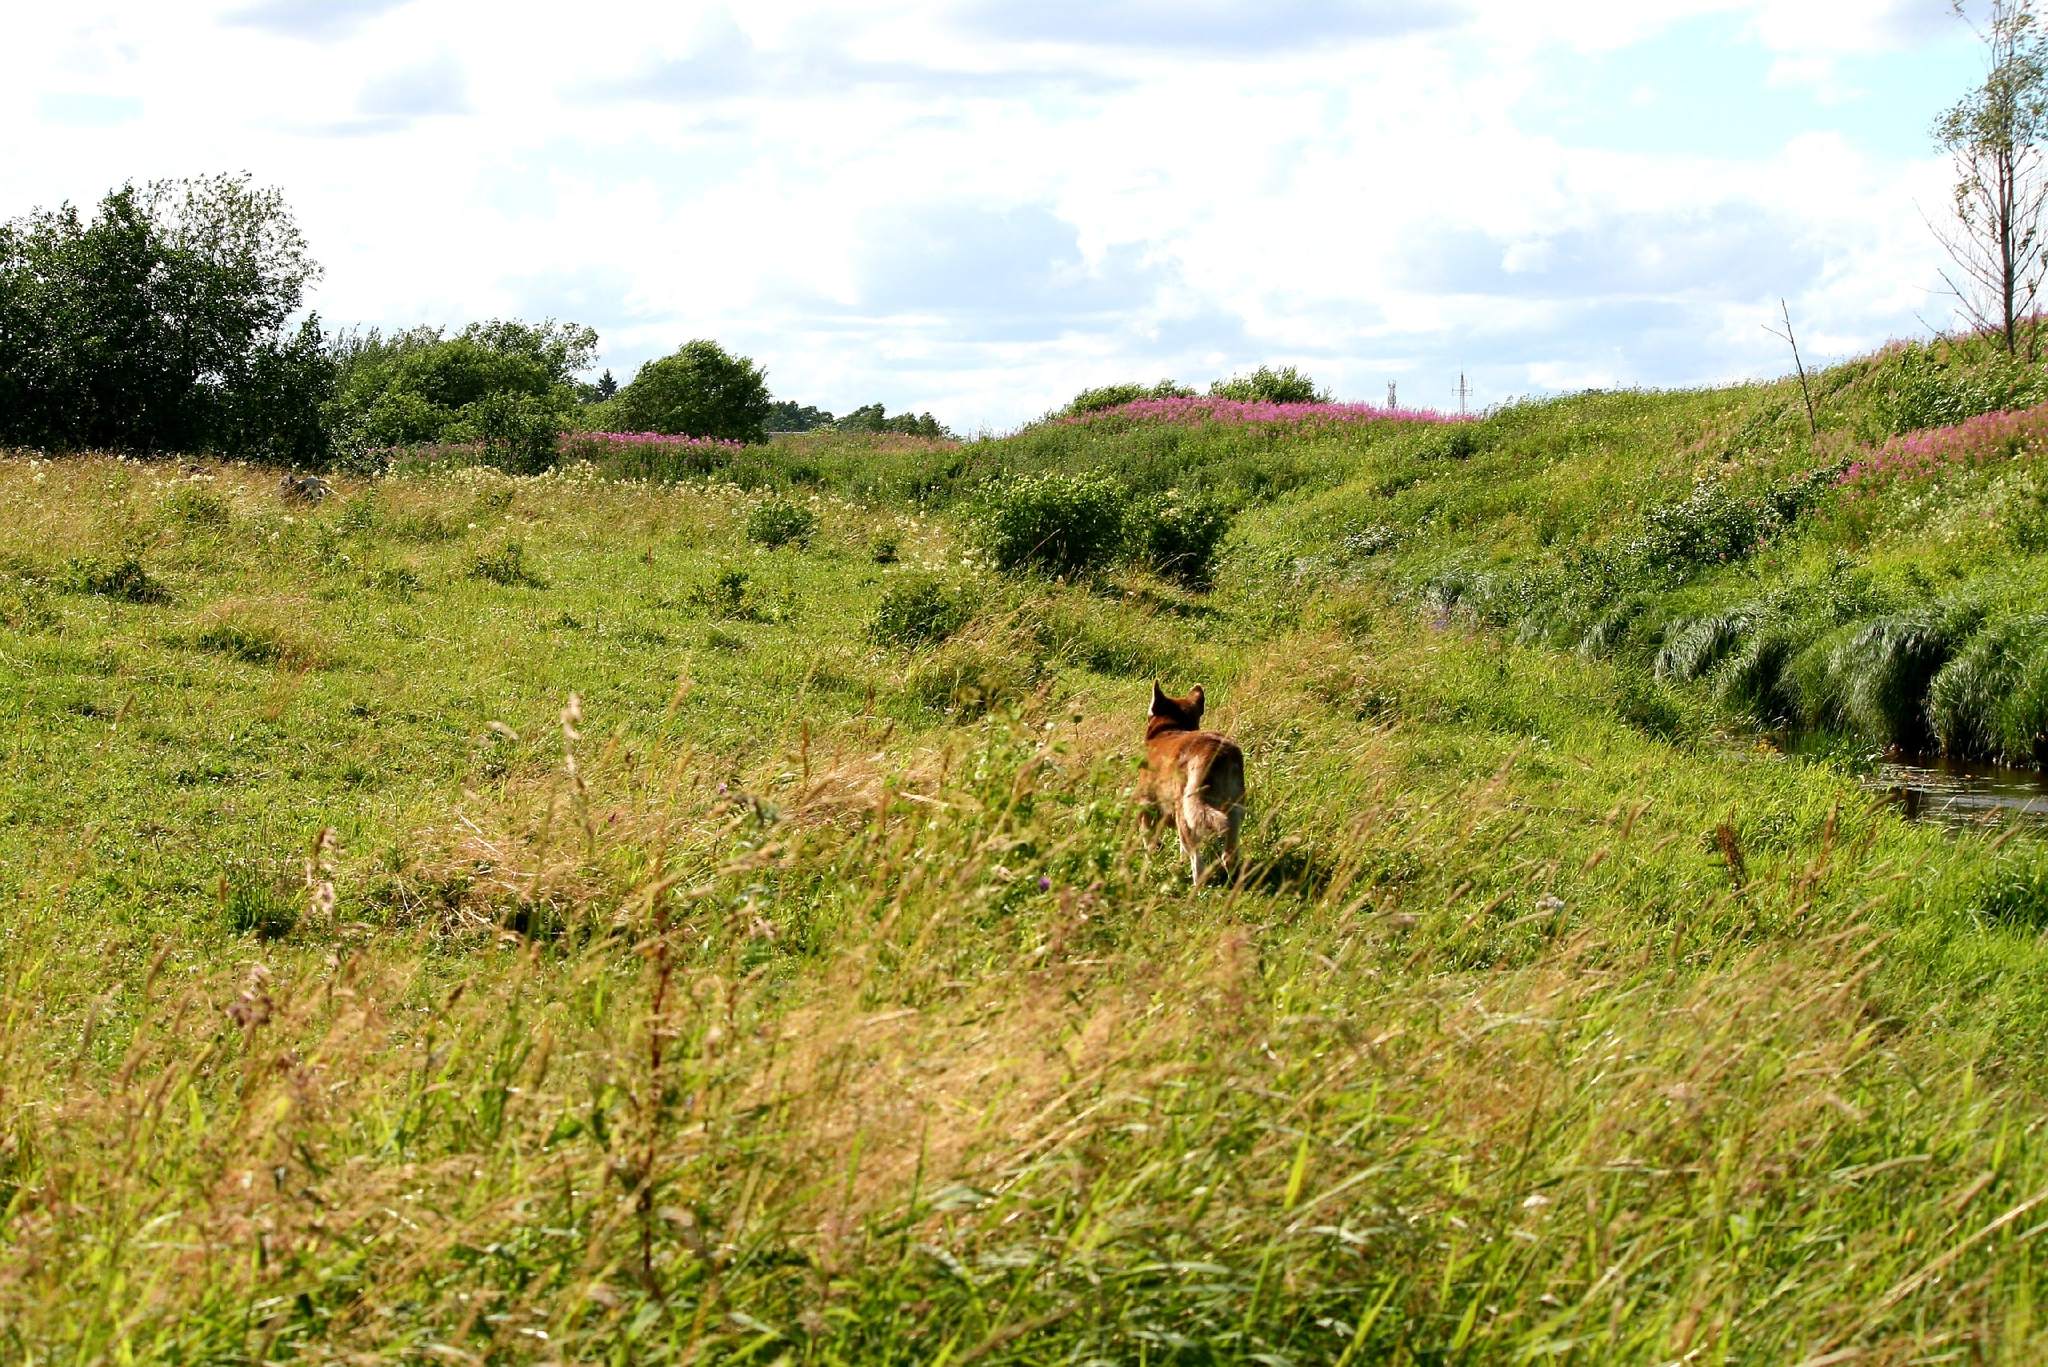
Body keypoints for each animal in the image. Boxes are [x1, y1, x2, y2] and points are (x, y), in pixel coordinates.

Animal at [1138, 680, 1245, 889]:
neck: (1170, 728)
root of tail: (1216, 752)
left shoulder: (1146, 806)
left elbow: (1149, 840)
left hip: (1185, 814)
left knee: (1198, 863)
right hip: (1233, 811)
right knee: (1228, 855)